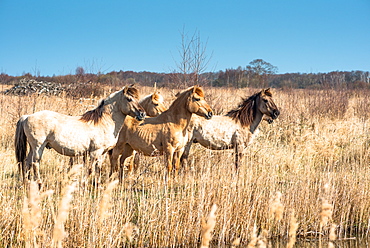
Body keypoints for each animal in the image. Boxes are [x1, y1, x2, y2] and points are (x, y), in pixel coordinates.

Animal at [15, 85, 146, 186]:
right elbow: (90, 169)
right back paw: (39, 183)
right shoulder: (95, 152)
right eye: (129, 99)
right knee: (35, 163)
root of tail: (27, 116)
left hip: (32, 148)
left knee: (27, 163)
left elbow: (98, 169)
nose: (142, 114)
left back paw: (26, 183)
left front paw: (98, 185)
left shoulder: (102, 153)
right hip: (38, 147)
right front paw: (84, 184)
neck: (104, 122)